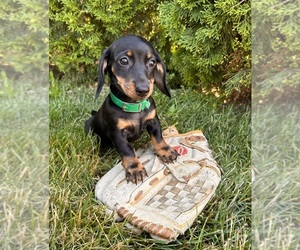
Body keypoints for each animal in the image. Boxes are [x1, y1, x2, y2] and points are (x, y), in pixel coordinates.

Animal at [84, 34, 177, 184]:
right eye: (124, 60)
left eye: (152, 62)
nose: (144, 90)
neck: (134, 107)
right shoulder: (117, 133)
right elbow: (127, 150)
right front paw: (134, 168)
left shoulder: (154, 121)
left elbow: (158, 138)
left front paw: (165, 151)